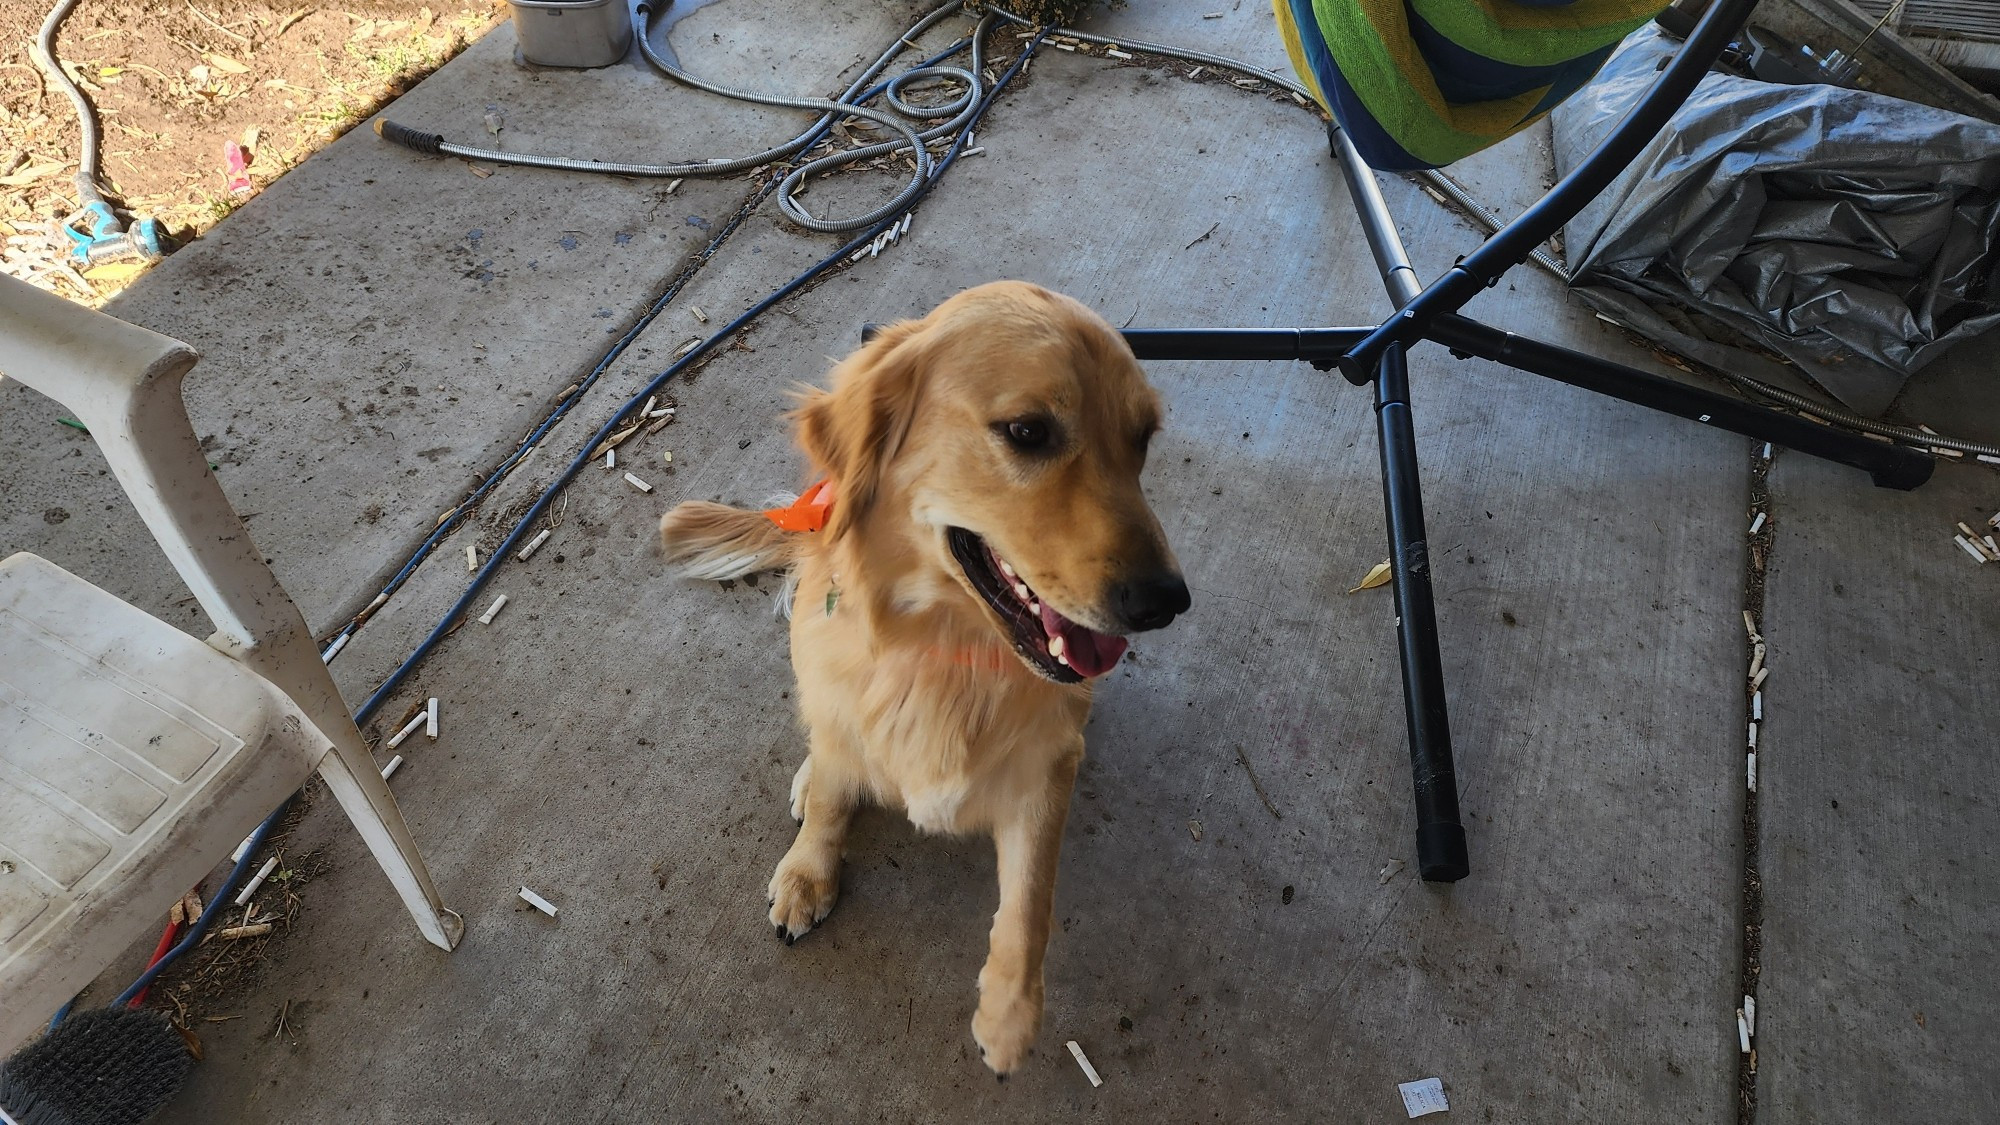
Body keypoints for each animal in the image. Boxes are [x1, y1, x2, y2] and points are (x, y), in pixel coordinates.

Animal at [656, 278, 1184, 1064]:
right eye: (1028, 431)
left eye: (1142, 438)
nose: (1167, 601)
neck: (945, 648)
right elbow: (831, 801)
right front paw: (809, 871)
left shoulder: (1045, 769)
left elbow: (1031, 898)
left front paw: (1008, 1013)